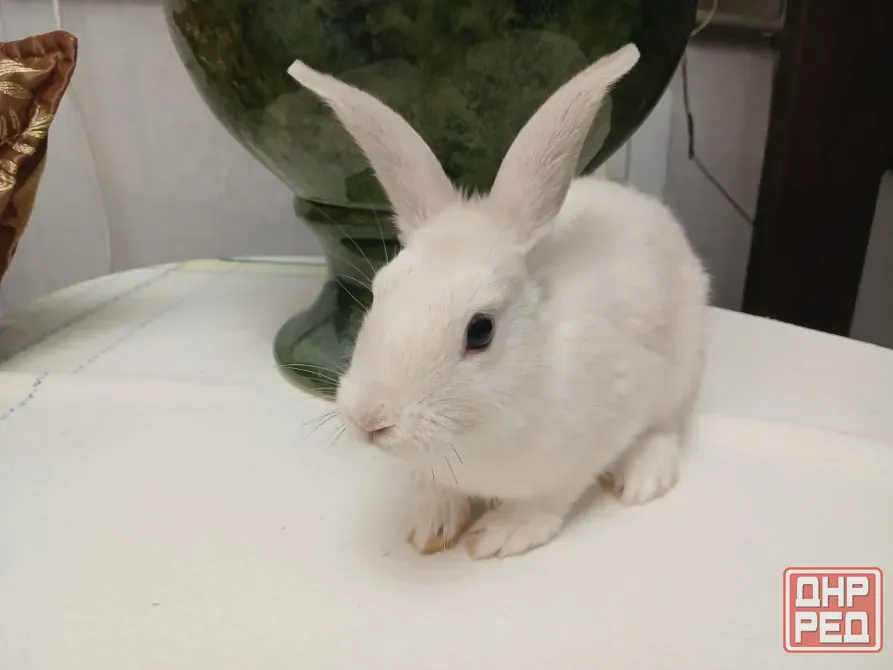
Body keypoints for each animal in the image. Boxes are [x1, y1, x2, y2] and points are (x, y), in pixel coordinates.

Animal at [287, 43, 710, 560]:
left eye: (481, 330)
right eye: (378, 292)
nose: (370, 420)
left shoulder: (588, 444)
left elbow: (545, 502)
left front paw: (498, 535)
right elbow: (439, 491)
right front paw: (429, 525)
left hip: (681, 373)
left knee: (665, 429)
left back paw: (643, 478)